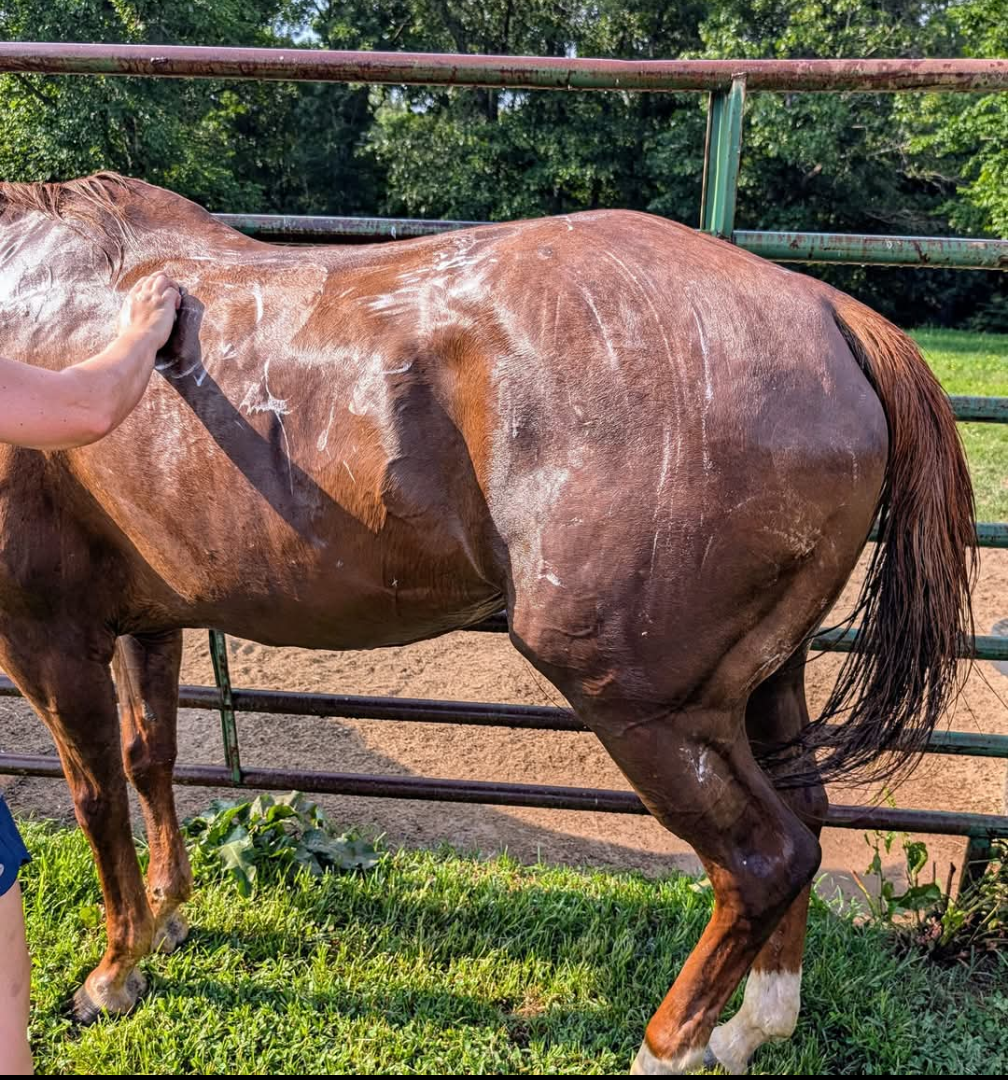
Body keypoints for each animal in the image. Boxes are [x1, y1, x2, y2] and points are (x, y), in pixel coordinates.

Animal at [0, 173, 974, 1073]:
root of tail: (826, 310)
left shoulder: (45, 638)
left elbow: (95, 796)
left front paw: (114, 973)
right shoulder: (146, 622)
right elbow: (149, 758)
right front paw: (169, 916)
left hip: (651, 709)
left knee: (764, 860)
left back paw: (669, 1047)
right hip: (766, 679)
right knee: (805, 818)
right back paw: (749, 1030)